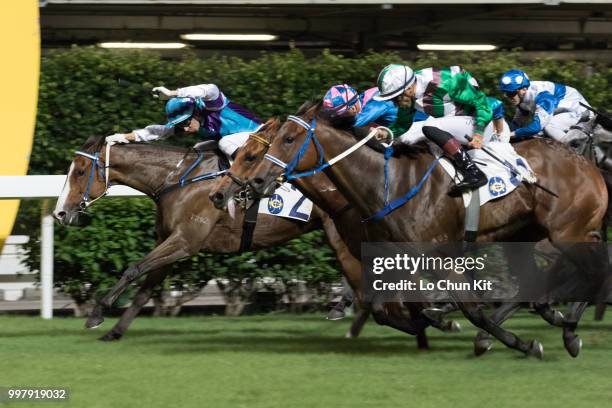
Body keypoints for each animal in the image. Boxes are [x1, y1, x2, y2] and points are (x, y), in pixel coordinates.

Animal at [52, 136, 370, 342]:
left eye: (80, 171)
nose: (60, 212)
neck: (176, 180)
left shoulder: (185, 241)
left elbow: (134, 268)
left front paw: (96, 313)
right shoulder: (170, 243)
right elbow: (145, 289)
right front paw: (115, 330)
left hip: (340, 232)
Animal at [213, 103, 608, 358]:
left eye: (290, 139)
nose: (255, 182)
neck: (385, 185)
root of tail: (585, 162)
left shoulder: (442, 258)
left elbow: (469, 308)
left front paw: (522, 343)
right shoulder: (391, 259)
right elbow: (390, 310)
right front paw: (437, 326)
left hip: (566, 231)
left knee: (593, 269)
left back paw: (568, 331)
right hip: (530, 235)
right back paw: (559, 324)